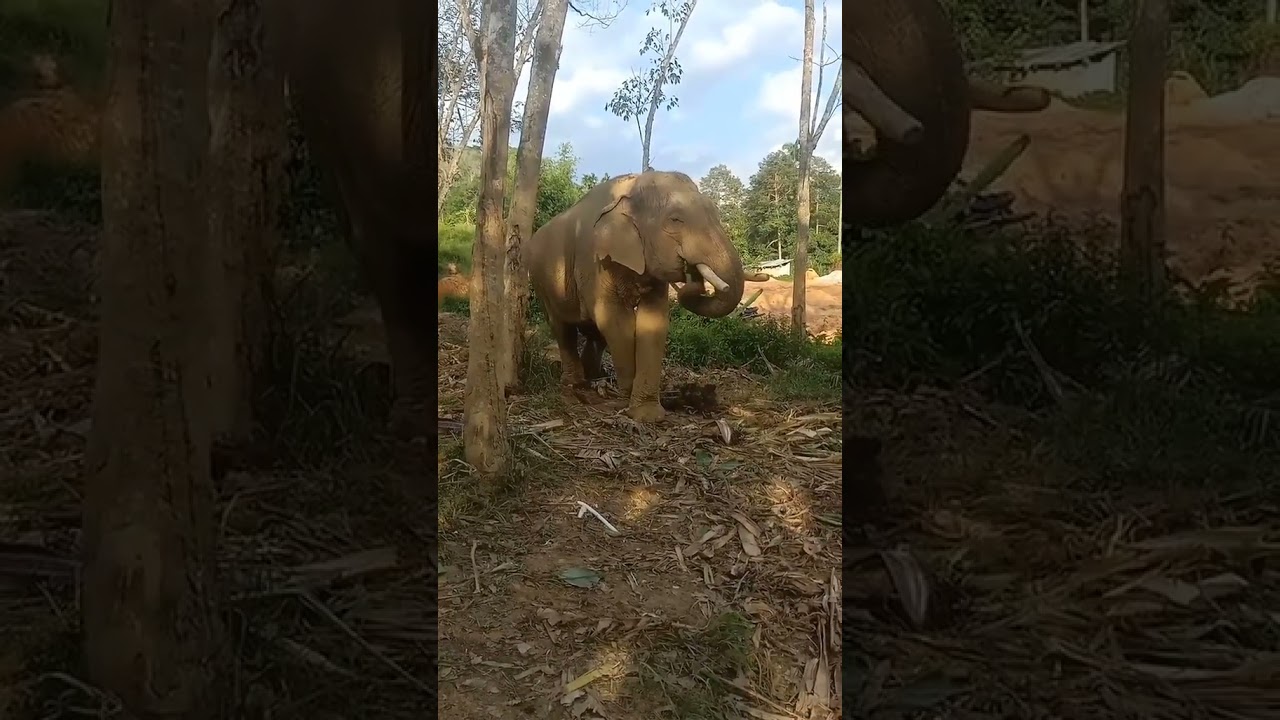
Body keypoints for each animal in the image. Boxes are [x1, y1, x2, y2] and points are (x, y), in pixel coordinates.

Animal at [524, 171, 747, 423]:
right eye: (675, 220)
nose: (691, 272)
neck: (632, 187)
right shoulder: (595, 260)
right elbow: (615, 319)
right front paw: (627, 401)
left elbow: (653, 321)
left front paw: (647, 414)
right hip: (541, 282)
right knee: (562, 328)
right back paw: (576, 385)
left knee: (594, 333)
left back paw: (597, 379)